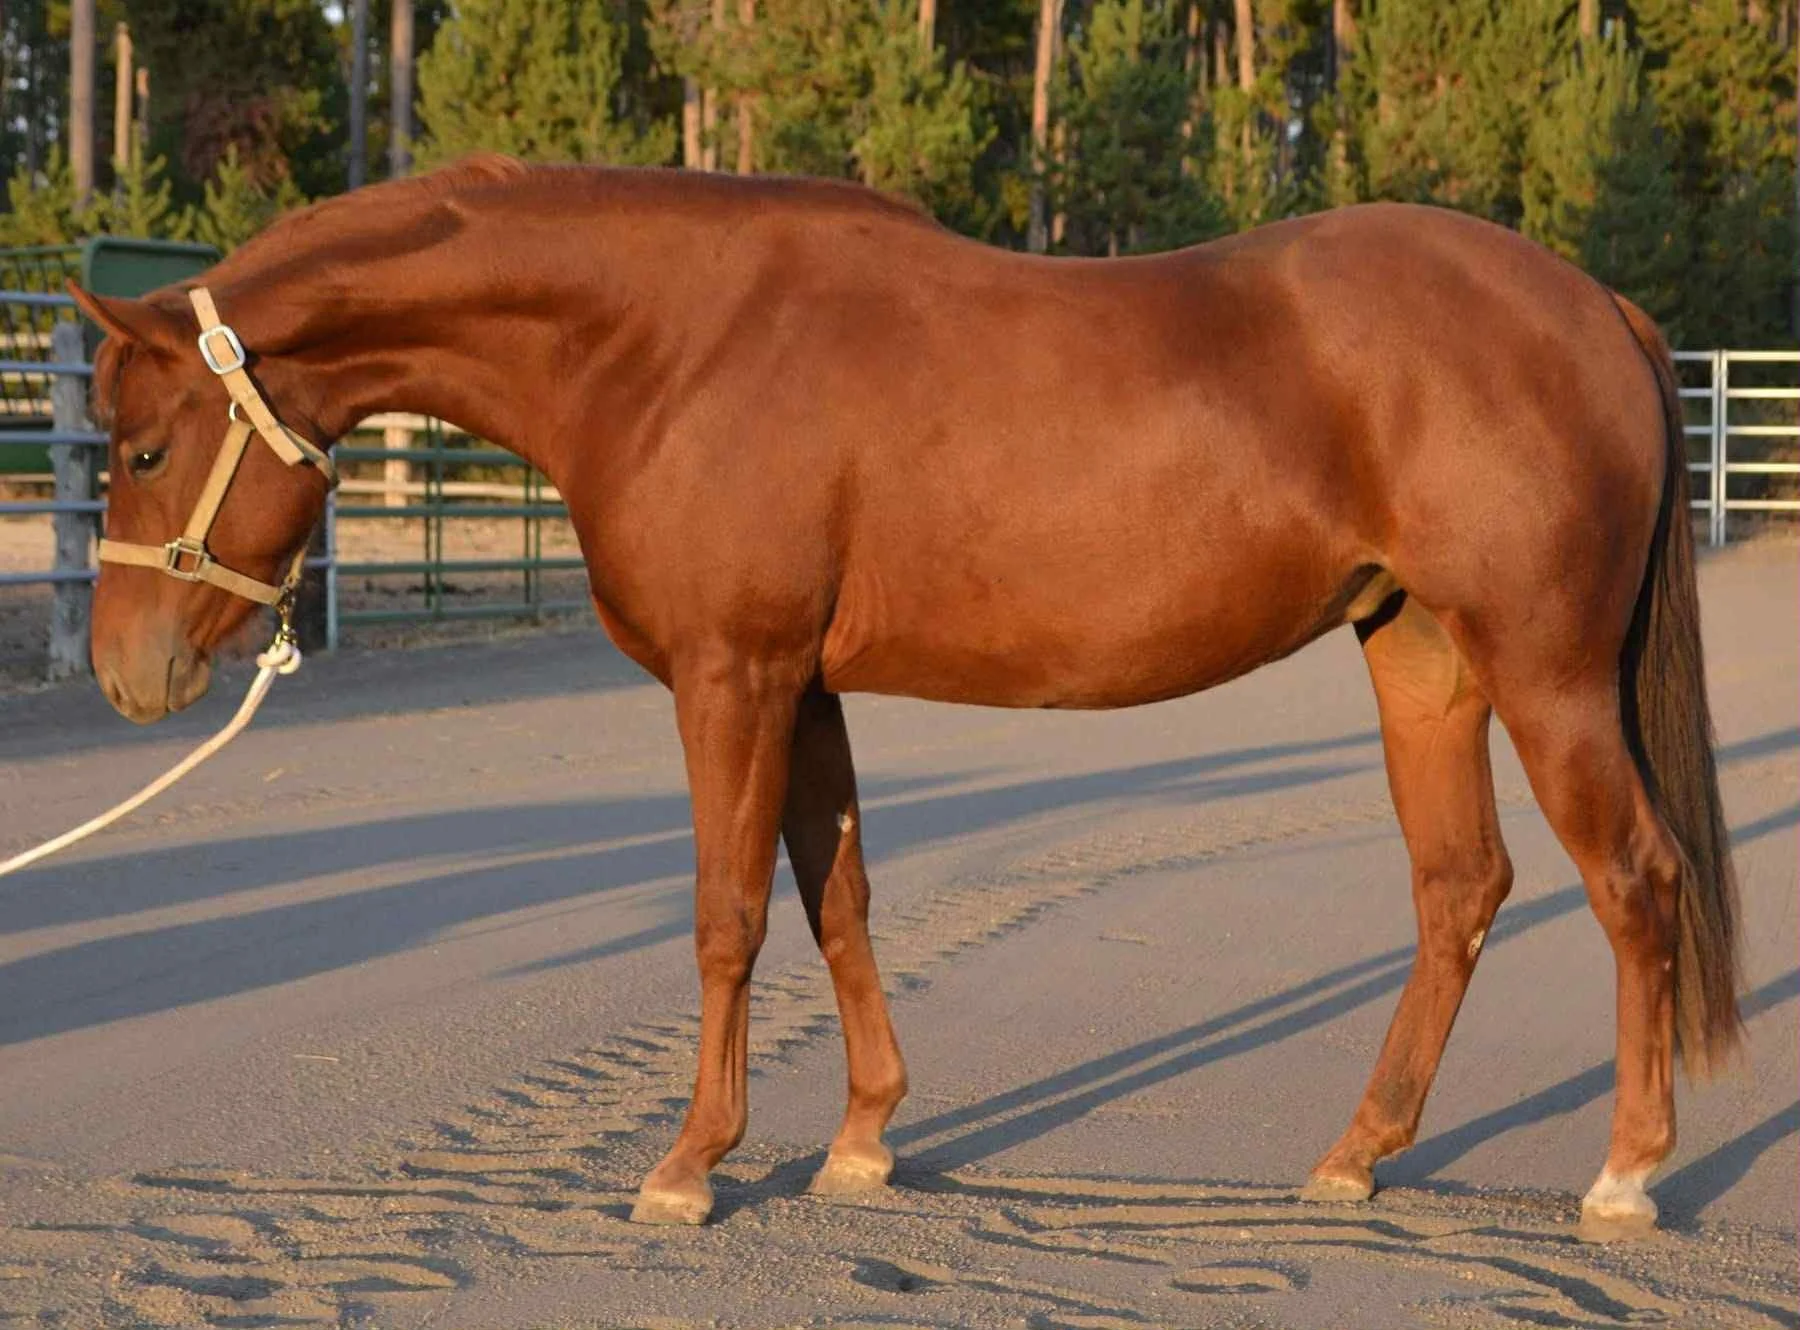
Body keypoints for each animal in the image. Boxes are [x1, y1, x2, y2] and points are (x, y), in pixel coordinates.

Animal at [69, 155, 1739, 1239]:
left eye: (143, 445)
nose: (126, 675)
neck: (672, 340)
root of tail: (1602, 309)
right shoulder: (802, 688)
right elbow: (840, 895)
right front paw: (865, 1139)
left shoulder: (732, 676)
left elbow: (728, 912)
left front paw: (690, 1164)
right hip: (1423, 659)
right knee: (1462, 887)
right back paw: (1357, 1154)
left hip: (1544, 670)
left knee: (1632, 879)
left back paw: (1624, 1174)